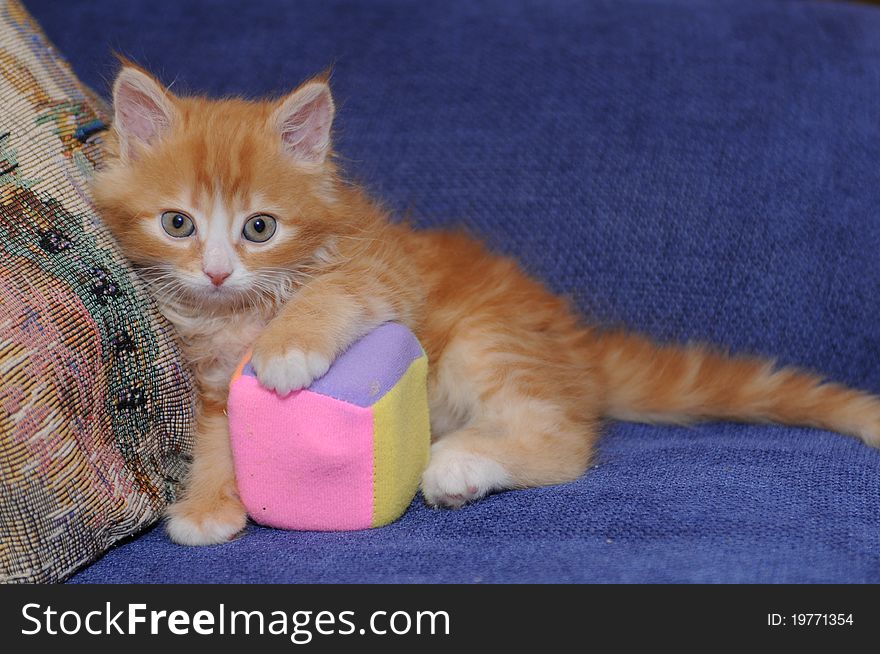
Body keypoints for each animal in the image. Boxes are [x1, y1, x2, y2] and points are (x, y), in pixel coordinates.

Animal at [93, 65, 880, 548]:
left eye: (260, 228)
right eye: (178, 224)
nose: (217, 273)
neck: (237, 314)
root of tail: (578, 346)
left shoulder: (384, 270)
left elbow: (330, 294)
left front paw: (288, 348)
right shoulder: (212, 382)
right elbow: (217, 439)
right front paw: (207, 505)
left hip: (485, 339)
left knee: (562, 440)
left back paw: (459, 466)